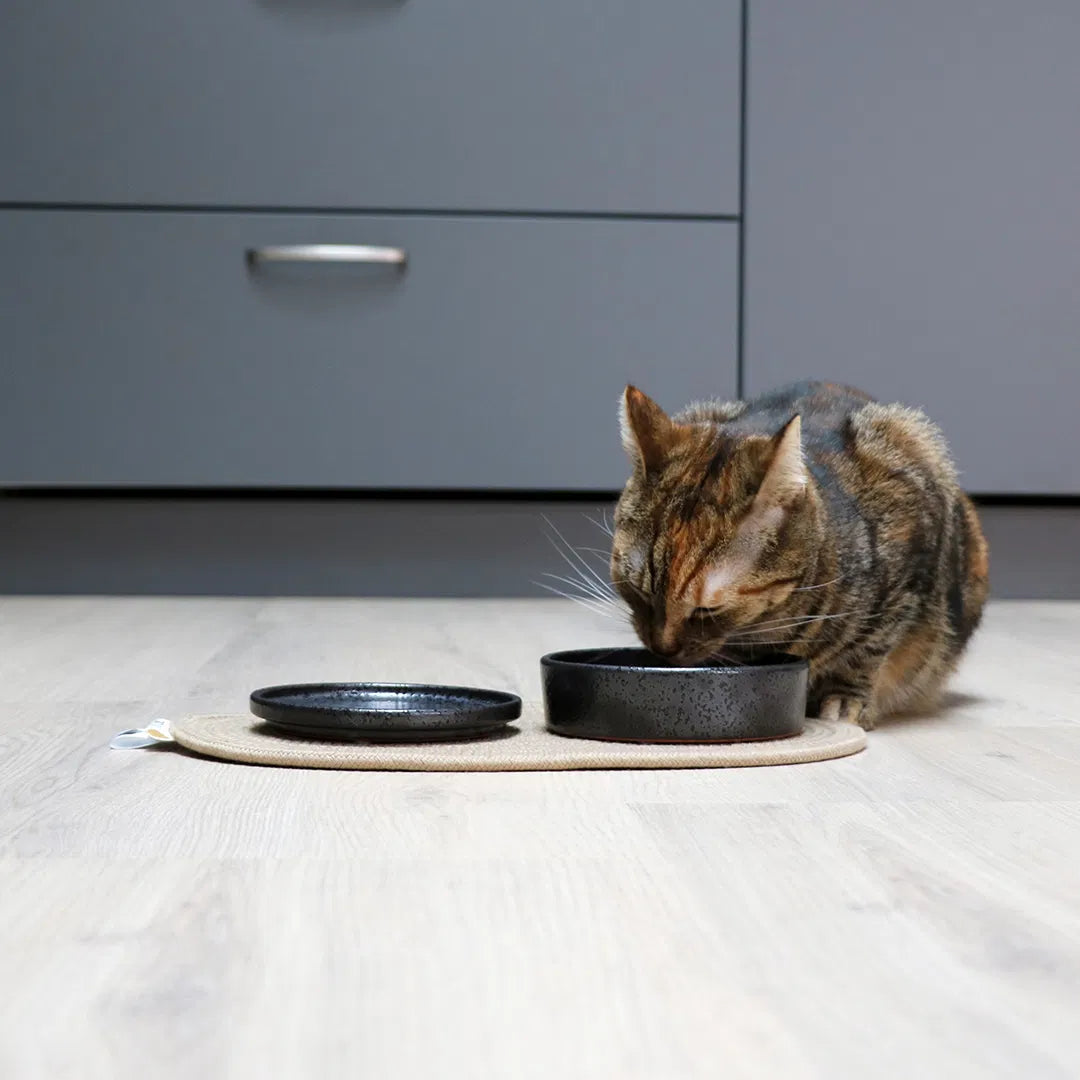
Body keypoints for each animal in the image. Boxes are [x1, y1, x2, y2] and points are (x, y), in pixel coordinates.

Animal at [610, 381, 989, 729]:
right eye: (639, 591)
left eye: (707, 609)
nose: (663, 649)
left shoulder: (909, 567)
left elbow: (869, 647)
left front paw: (845, 698)